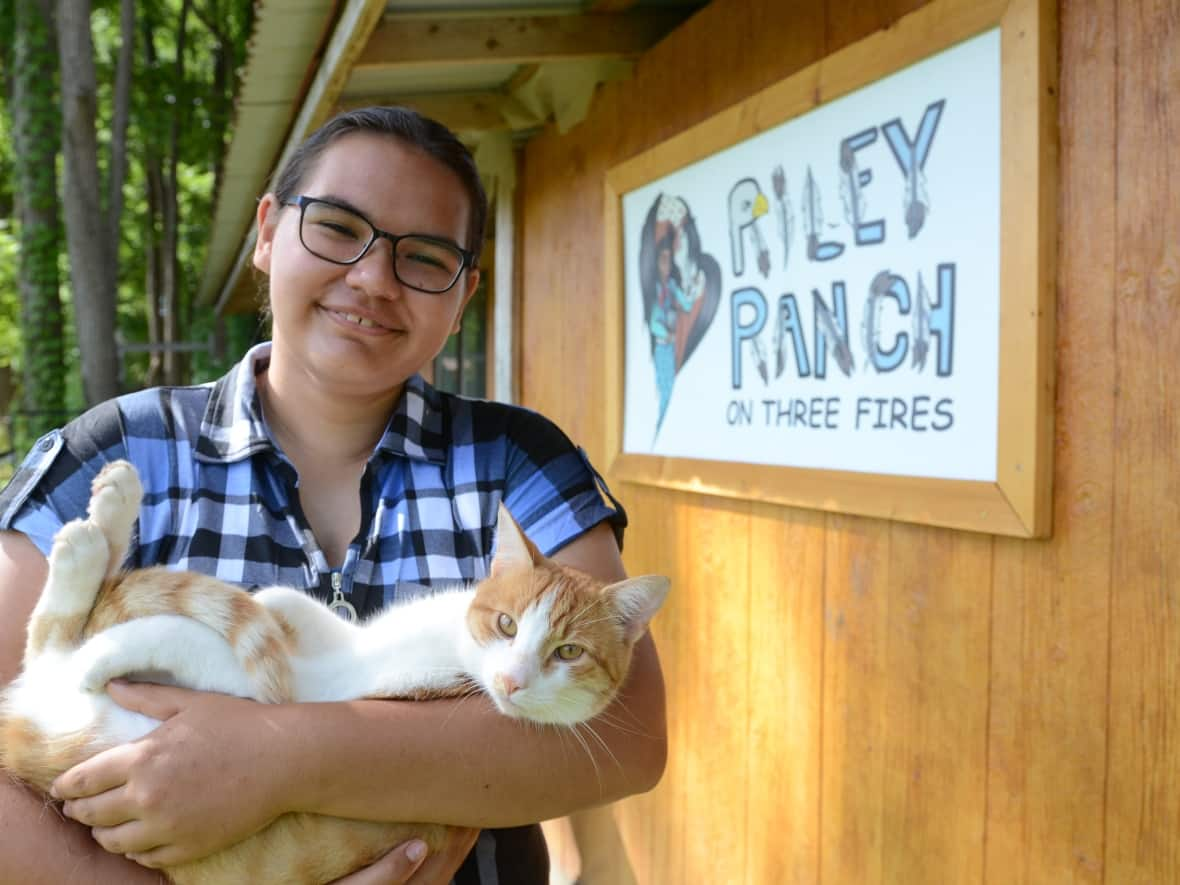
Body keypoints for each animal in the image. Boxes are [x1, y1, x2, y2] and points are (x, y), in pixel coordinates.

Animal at [0, 464, 670, 885]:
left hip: (82, 720)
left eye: (569, 653)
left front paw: (109, 651)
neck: (452, 643)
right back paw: (110, 511)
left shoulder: (302, 689)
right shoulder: (343, 642)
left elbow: (205, 646)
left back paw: (88, 564)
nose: (511, 681)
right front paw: (270, 602)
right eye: (506, 624)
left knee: (52, 648)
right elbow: (286, 606)